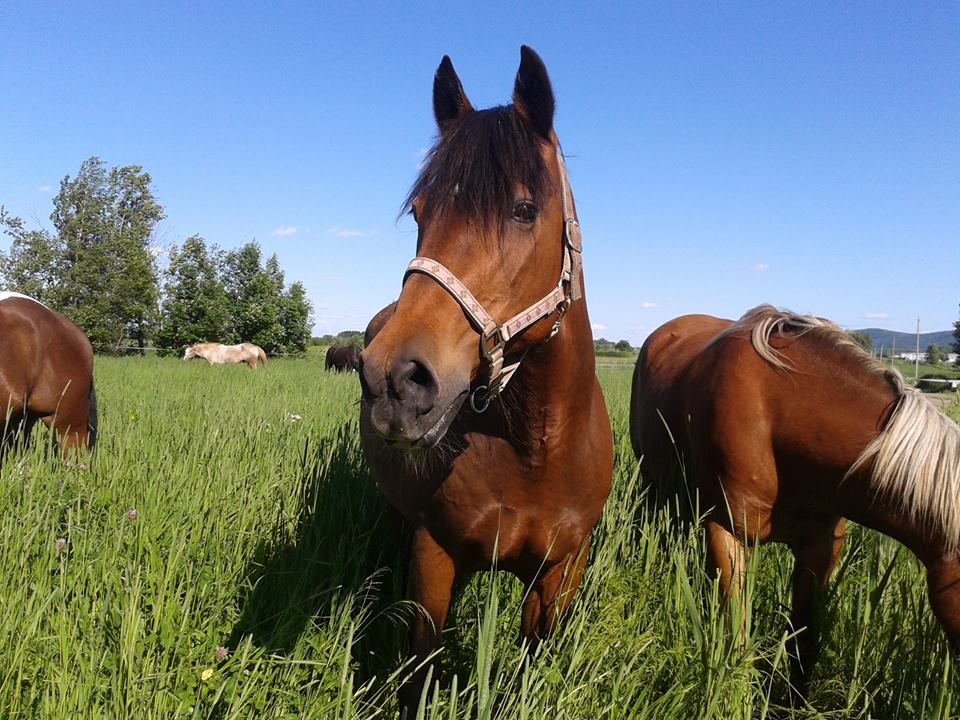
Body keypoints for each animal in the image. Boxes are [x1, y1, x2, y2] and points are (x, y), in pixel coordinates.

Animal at [359, 47, 613, 711]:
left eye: (524, 210)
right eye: (419, 213)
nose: (394, 378)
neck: (536, 450)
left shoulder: (560, 573)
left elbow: (530, 664)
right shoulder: (434, 557)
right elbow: (420, 670)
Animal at [629, 304, 960, 698]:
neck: (778, 415)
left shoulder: (821, 547)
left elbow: (803, 640)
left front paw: (791, 700)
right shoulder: (727, 532)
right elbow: (738, 637)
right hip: (651, 485)